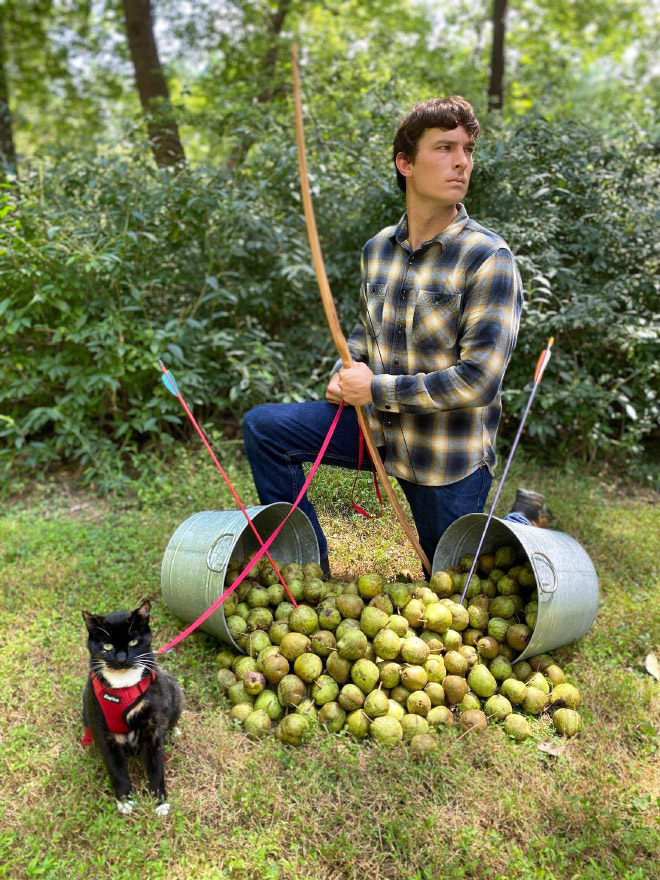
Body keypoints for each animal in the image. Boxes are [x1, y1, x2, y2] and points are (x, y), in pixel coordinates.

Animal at [84, 600, 186, 816]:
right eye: (106, 646)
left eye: (133, 642)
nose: (121, 658)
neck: (123, 687)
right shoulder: (104, 732)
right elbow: (116, 769)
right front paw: (125, 801)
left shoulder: (152, 729)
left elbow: (156, 767)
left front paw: (160, 802)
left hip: (175, 690)